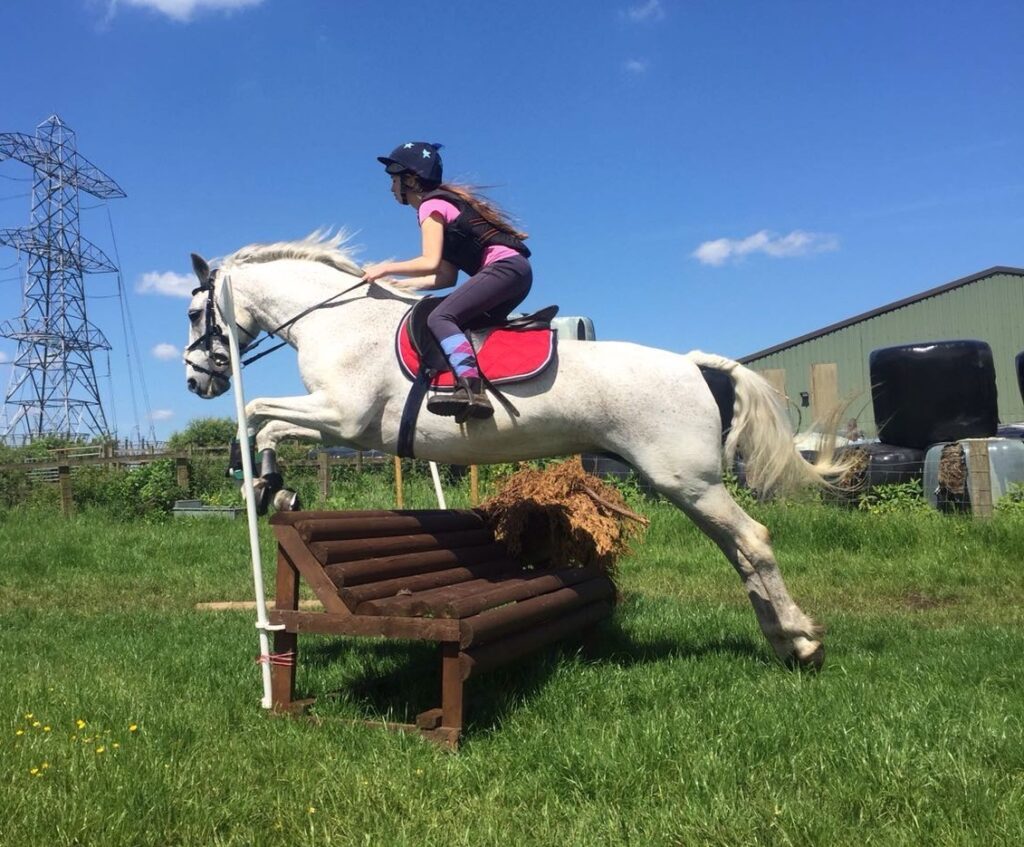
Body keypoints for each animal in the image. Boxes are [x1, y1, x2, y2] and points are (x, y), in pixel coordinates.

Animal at [188, 233, 843, 667]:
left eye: (196, 312)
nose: (198, 382)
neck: (337, 322)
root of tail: (690, 364)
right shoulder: (340, 426)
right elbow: (266, 424)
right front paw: (270, 487)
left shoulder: (342, 417)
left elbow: (257, 413)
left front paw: (259, 482)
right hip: (686, 484)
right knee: (737, 549)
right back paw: (780, 638)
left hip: (687, 480)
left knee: (752, 540)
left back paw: (802, 640)